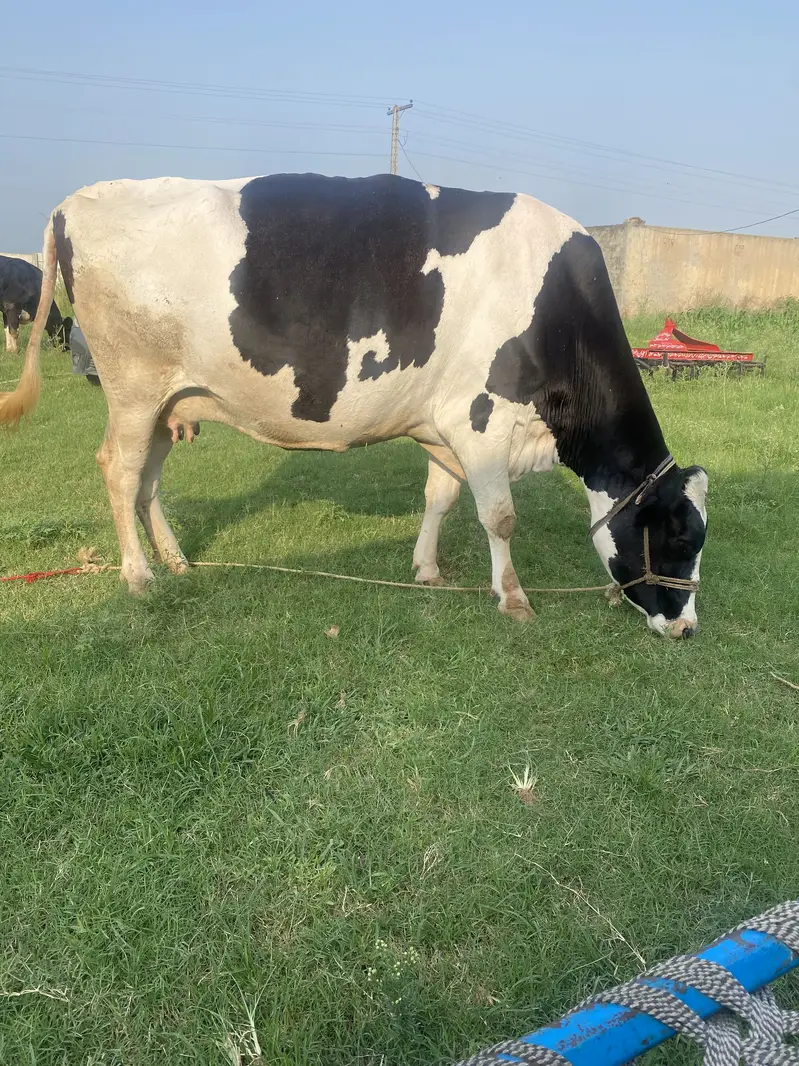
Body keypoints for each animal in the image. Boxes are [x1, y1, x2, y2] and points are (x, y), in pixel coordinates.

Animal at [0, 174, 708, 636]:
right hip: (133, 387)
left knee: (147, 479)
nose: (687, 628)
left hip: (167, 401)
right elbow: (499, 516)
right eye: (679, 536)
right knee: (120, 473)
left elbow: (440, 498)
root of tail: (75, 201)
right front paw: (512, 598)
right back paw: (138, 576)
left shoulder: (441, 422)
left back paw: (173, 560)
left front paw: (426, 569)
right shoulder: (479, 417)